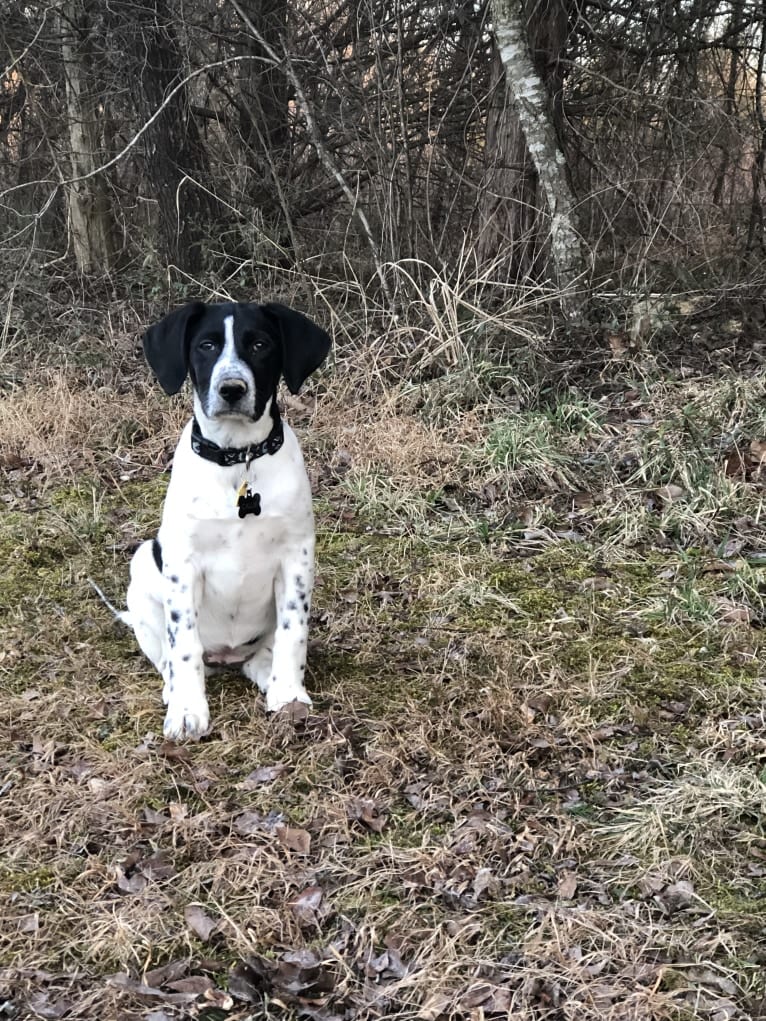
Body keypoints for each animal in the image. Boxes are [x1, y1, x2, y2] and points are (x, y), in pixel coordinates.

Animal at [122, 298, 330, 739]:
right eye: (207, 345)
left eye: (260, 344)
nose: (232, 389)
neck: (239, 460)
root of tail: (226, 656)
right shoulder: (183, 564)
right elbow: (183, 644)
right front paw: (187, 709)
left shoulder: (296, 558)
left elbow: (293, 633)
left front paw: (288, 694)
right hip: (144, 565)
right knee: (168, 655)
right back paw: (173, 687)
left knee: (261, 653)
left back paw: (266, 672)